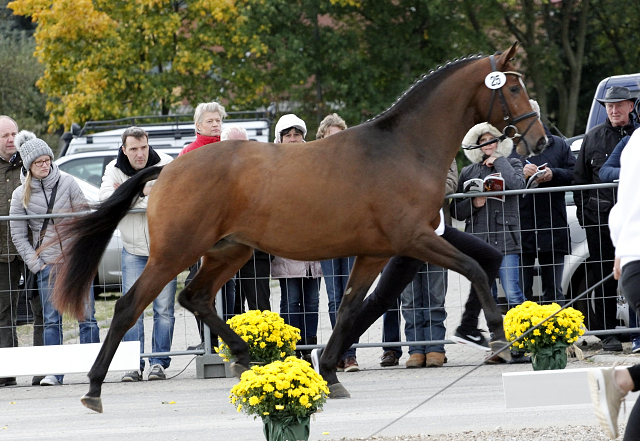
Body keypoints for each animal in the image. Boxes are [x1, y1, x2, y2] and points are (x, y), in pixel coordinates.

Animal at [52, 42, 548, 412]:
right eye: (515, 87)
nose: (540, 139)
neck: (403, 150)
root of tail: (168, 168)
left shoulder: (375, 252)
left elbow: (347, 308)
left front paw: (329, 372)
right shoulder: (415, 239)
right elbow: (476, 268)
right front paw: (499, 338)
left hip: (230, 250)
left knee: (197, 297)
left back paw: (244, 355)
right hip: (173, 253)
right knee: (129, 307)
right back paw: (94, 388)